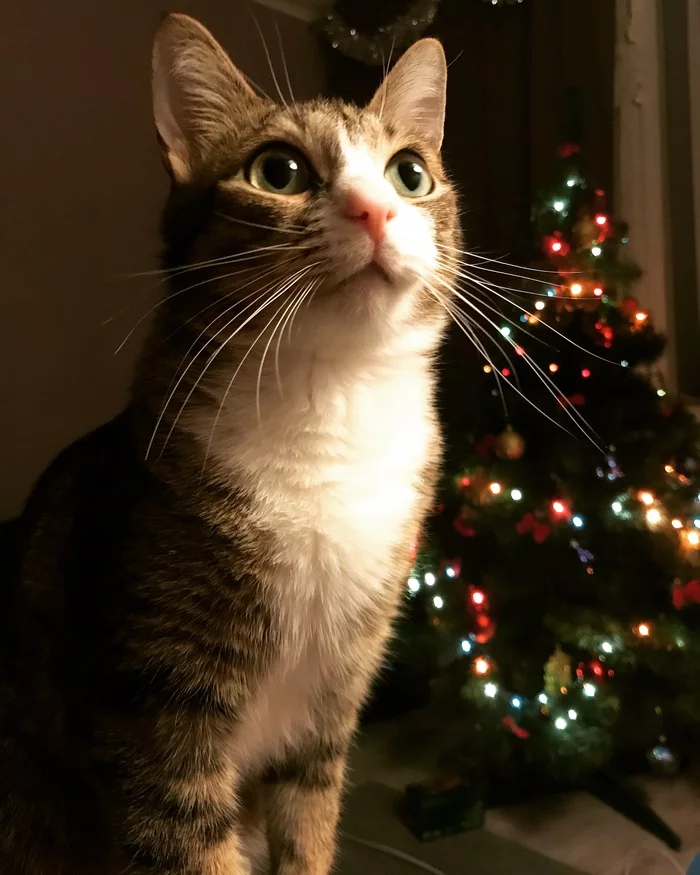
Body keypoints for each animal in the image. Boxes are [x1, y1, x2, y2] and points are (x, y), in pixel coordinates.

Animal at [0, 13, 462, 875]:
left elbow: (308, 827)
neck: (331, 405)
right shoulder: (155, 717)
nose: (376, 213)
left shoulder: (328, 712)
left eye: (410, 174)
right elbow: (187, 838)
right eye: (277, 171)